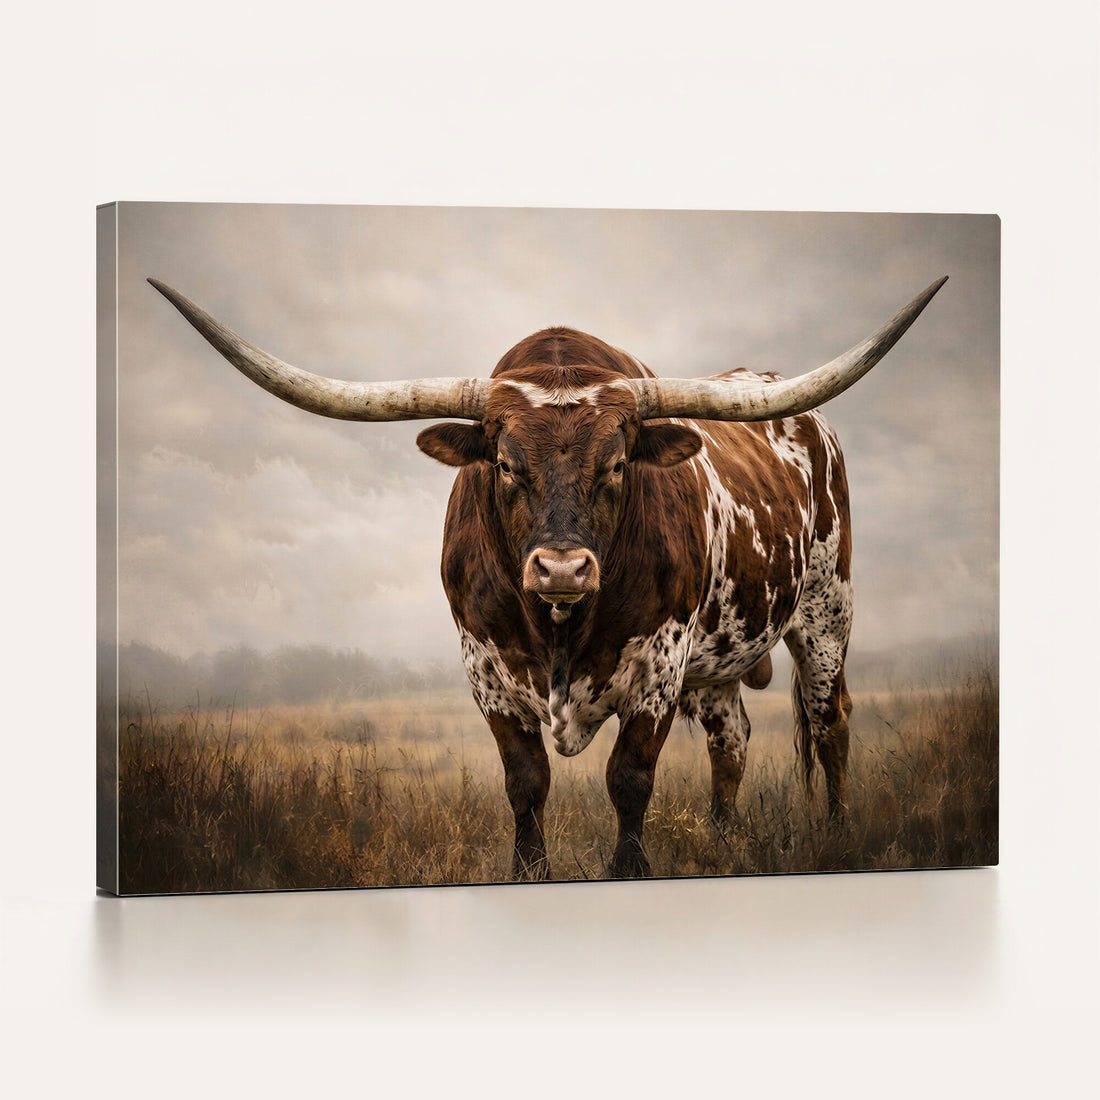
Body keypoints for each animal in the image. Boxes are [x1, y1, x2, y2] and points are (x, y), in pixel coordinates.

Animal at [150, 275, 946, 879]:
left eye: (617, 465)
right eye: (505, 465)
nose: (562, 566)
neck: (561, 627)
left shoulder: (659, 668)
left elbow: (629, 779)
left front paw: (630, 871)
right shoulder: (486, 671)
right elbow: (526, 785)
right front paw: (529, 872)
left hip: (825, 613)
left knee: (829, 720)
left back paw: (836, 835)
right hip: (720, 660)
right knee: (733, 739)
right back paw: (723, 843)